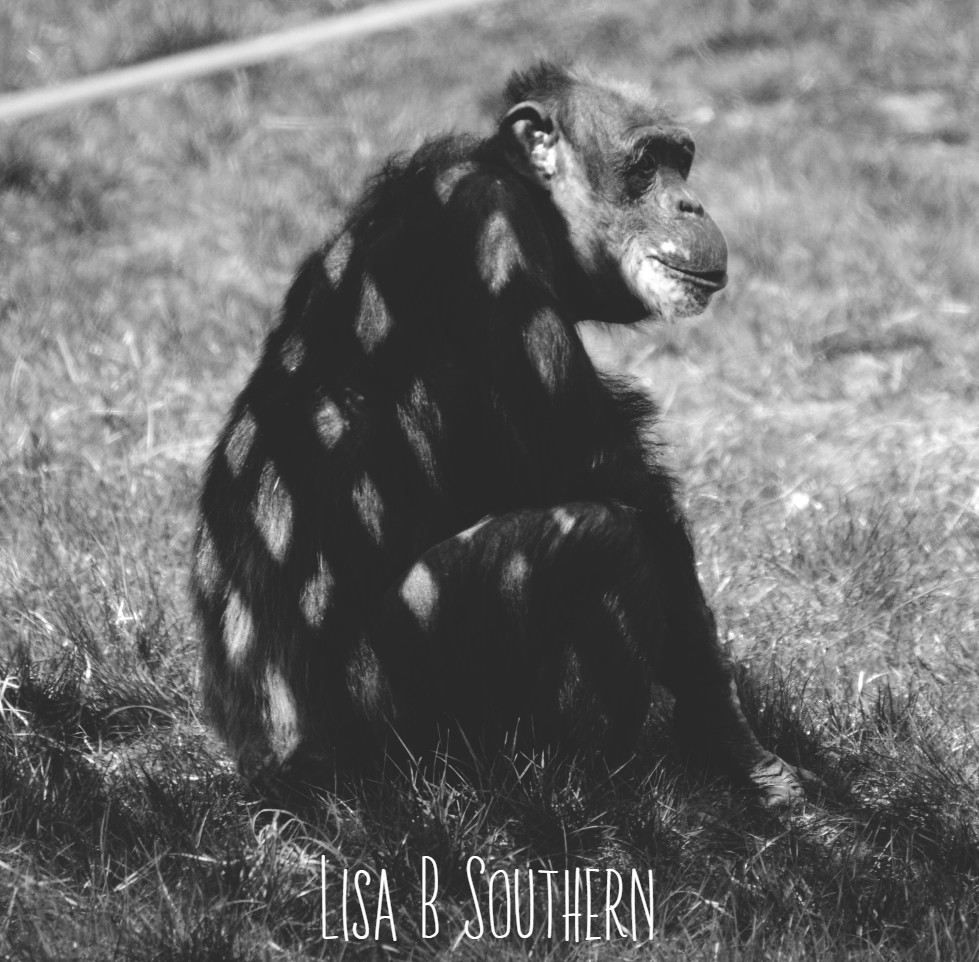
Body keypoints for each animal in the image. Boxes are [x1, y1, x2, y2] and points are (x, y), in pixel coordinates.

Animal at [192, 62, 812, 808]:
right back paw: (579, 796)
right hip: (396, 725)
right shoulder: (491, 236)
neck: (531, 199)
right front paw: (741, 750)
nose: (690, 204)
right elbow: (610, 479)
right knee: (601, 539)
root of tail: (268, 765)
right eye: (645, 164)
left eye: (681, 161)